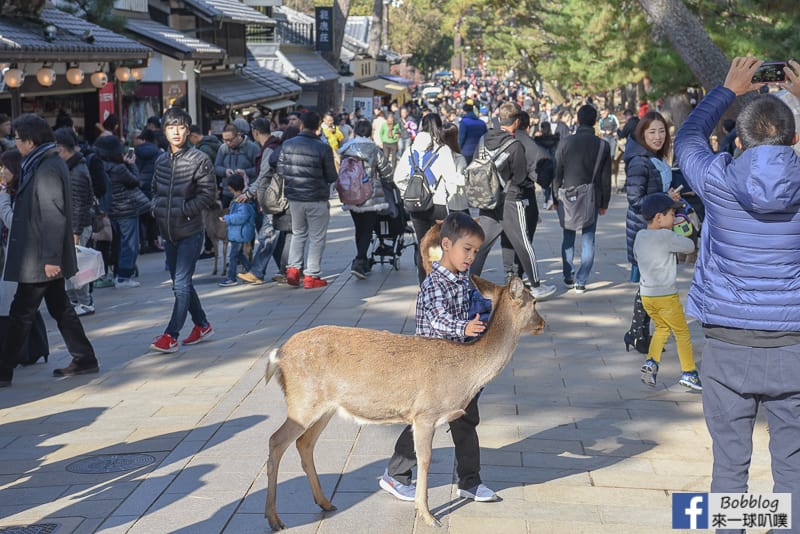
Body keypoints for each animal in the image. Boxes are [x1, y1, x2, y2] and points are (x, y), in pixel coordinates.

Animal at [266, 276, 548, 532]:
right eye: (533, 301)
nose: (543, 323)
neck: (465, 374)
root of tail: (277, 356)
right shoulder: (425, 413)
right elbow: (425, 459)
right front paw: (428, 516)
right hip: (303, 401)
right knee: (276, 440)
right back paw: (274, 518)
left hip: (325, 407)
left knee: (304, 443)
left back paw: (324, 502)